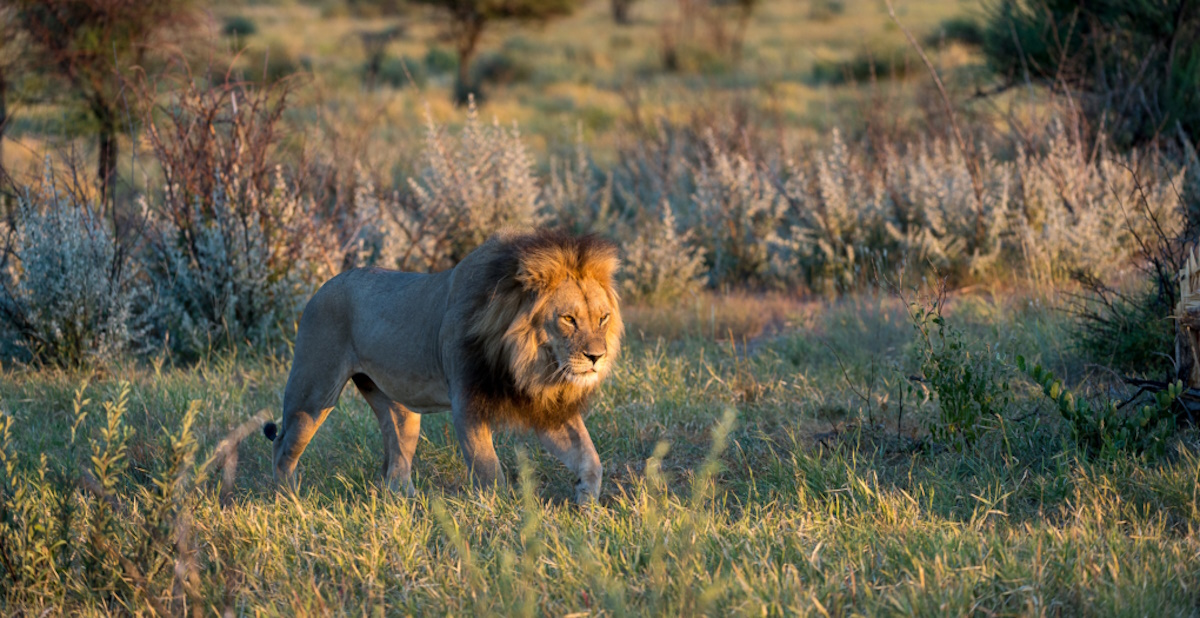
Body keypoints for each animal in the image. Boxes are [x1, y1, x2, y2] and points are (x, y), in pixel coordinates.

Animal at [260, 229, 619, 506]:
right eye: (568, 319)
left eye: (603, 318)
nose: (596, 357)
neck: (529, 364)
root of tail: (322, 287)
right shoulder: (467, 403)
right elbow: (489, 470)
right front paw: (501, 516)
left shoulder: (545, 406)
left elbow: (590, 458)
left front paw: (586, 505)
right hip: (314, 392)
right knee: (282, 446)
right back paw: (290, 502)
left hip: (398, 409)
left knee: (395, 465)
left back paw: (409, 505)